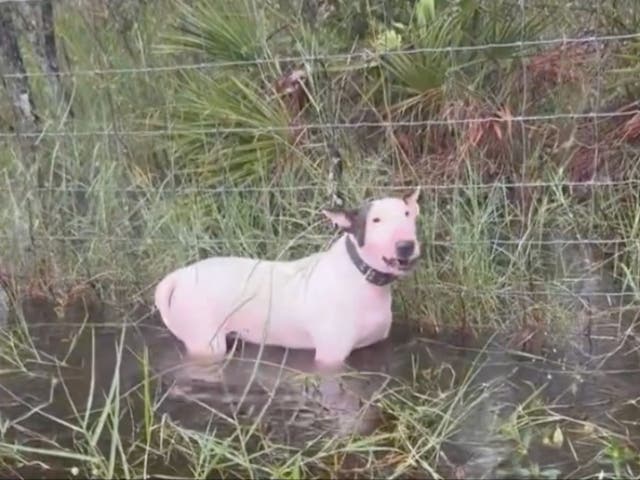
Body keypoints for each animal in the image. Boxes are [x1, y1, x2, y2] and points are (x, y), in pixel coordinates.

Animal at [155, 189, 422, 370]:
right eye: (375, 220)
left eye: (408, 214)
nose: (406, 246)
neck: (361, 276)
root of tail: (179, 276)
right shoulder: (330, 357)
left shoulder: (376, 346)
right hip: (206, 342)